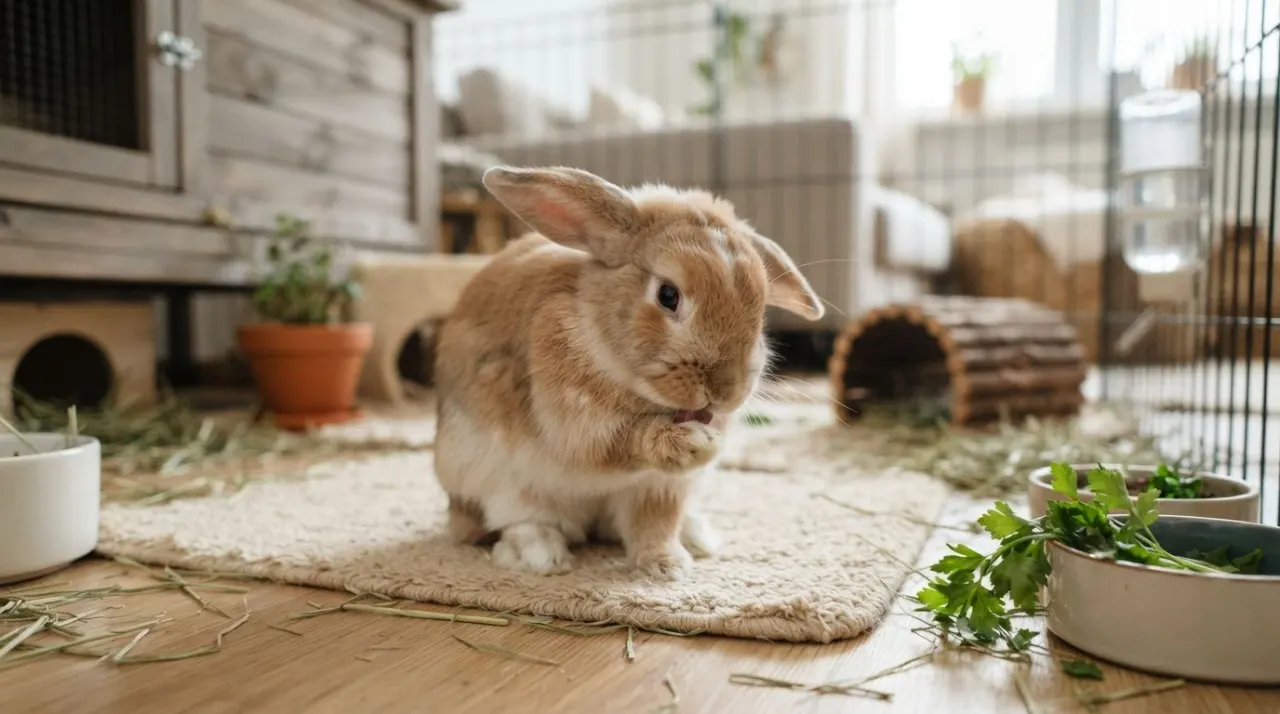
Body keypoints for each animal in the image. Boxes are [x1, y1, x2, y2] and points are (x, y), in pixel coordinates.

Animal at [432, 165, 824, 580]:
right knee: (519, 518)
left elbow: (656, 522)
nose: (726, 391)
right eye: (668, 295)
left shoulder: (661, 487)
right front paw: (692, 443)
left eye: (760, 307)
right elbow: (614, 443)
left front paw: (665, 567)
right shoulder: (573, 422)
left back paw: (696, 537)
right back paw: (540, 556)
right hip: (496, 481)